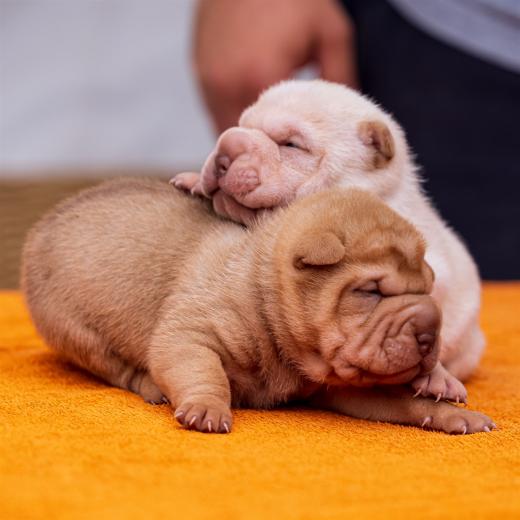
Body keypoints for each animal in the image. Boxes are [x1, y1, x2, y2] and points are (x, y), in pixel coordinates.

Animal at [21, 178, 493, 434]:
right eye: (371, 292)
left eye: (427, 288)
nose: (430, 332)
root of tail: (44, 223)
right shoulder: (192, 331)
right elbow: (203, 369)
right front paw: (208, 409)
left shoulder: (345, 387)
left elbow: (404, 404)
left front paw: (451, 413)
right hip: (74, 328)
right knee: (116, 367)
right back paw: (152, 385)